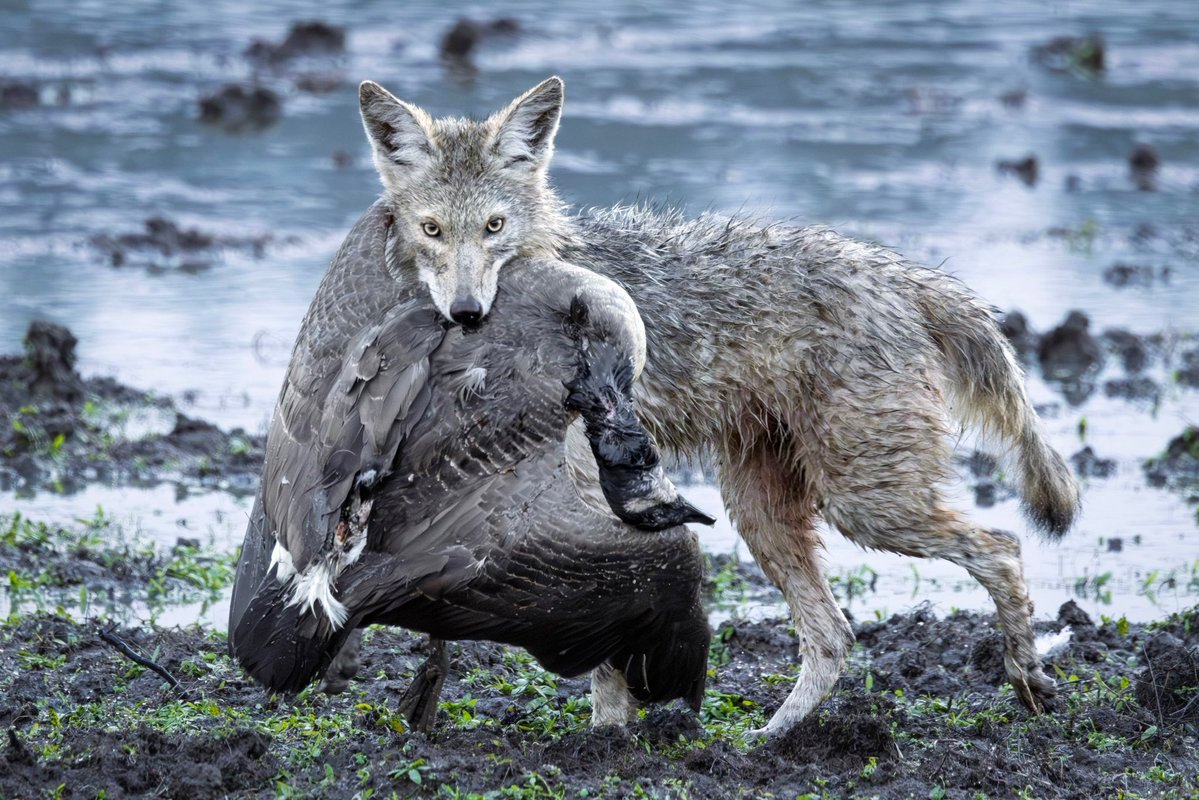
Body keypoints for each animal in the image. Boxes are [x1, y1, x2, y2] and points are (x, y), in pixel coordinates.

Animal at [356, 76, 1080, 737]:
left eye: (494, 227)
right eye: (432, 230)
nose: (466, 311)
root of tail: (905, 276)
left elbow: (604, 649)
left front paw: (606, 739)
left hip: (866, 507)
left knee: (1001, 548)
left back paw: (1027, 678)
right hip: (762, 510)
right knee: (834, 636)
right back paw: (766, 742)